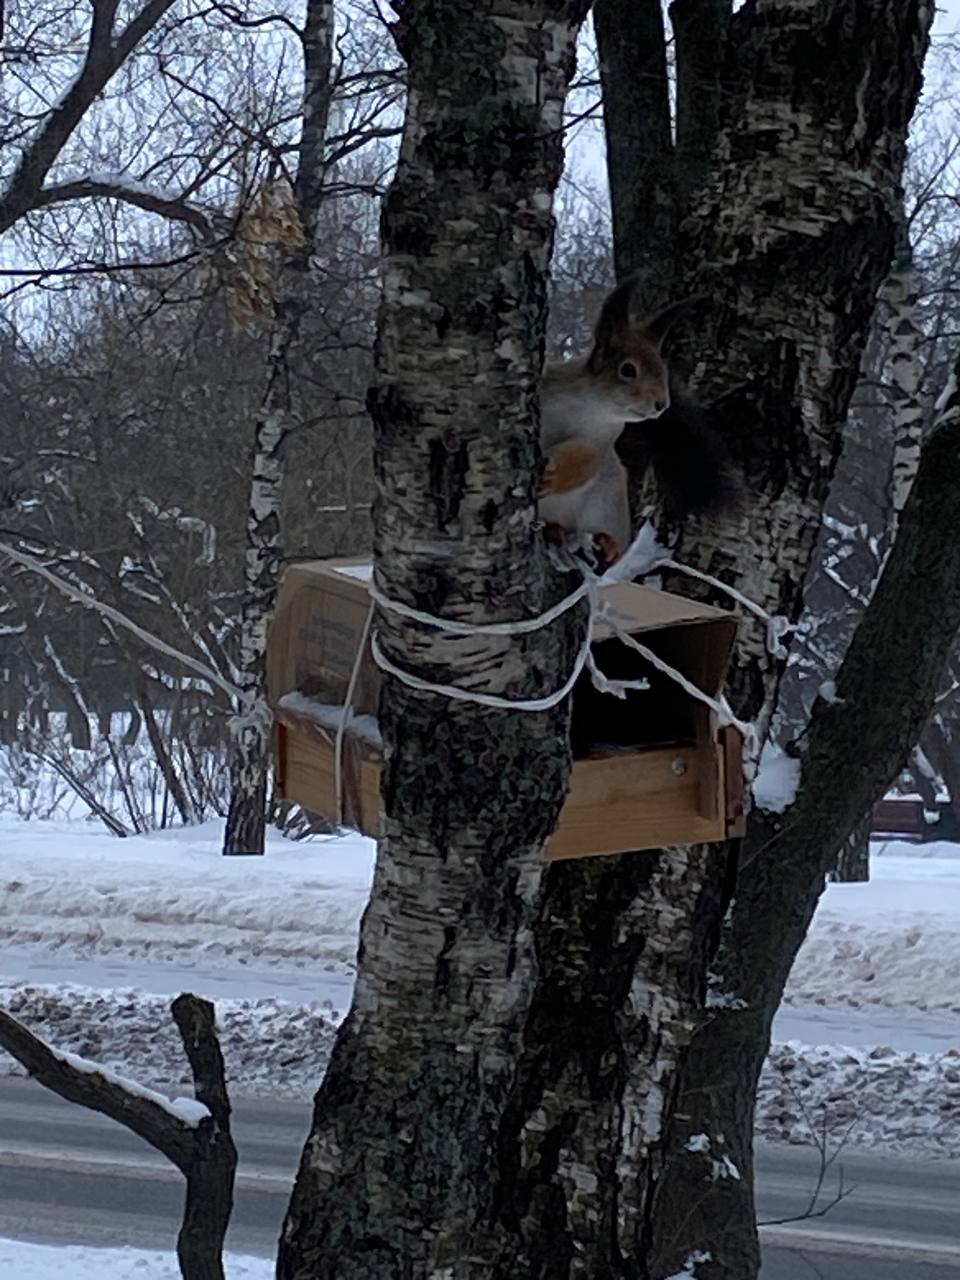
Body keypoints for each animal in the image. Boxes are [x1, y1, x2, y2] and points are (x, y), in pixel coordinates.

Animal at [539, 277, 740, 566]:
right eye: (628, 370)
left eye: (664, 370)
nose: (662, 404)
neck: (590, 404)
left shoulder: (599, 439)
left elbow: (581, 464)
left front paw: (552, 474)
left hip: (606, 505)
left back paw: (605, 544)